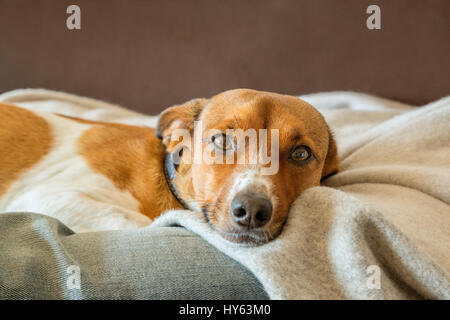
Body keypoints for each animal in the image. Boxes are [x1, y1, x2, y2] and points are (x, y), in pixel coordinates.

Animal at [0, 89, 338, 244]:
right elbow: (140, 223)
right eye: (222, 140)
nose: (253, 210)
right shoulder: (51, 197)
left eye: (301, 154)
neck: (164, 180)